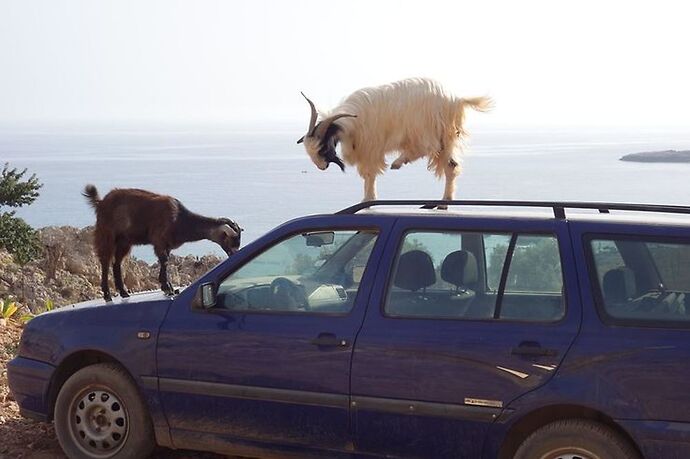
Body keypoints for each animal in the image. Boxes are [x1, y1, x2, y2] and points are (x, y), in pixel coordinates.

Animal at [83, 185, 242, 304]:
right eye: (232, 239)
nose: (235, 253)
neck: (179, 220)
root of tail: (101, 202)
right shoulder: (159, 240)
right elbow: (164, 261)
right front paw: (167, 288)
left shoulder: (167, 245)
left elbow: (165, 261)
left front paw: (169, 287)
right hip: (107, 234)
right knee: (105, 261)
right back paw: (107, 295)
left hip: (124, 241)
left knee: (117, 263)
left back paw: (123, 292)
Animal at [298, 77, 492, 201]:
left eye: (322, 148)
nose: (321, 167)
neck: (351, 122)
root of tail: (455, 100)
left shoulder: (371, 147)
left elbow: (370, 173)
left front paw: (368, 199)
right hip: (446, 138)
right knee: (451, 166)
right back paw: (445, 200)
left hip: (425, 130)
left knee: (426, 149)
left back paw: (398, 162)